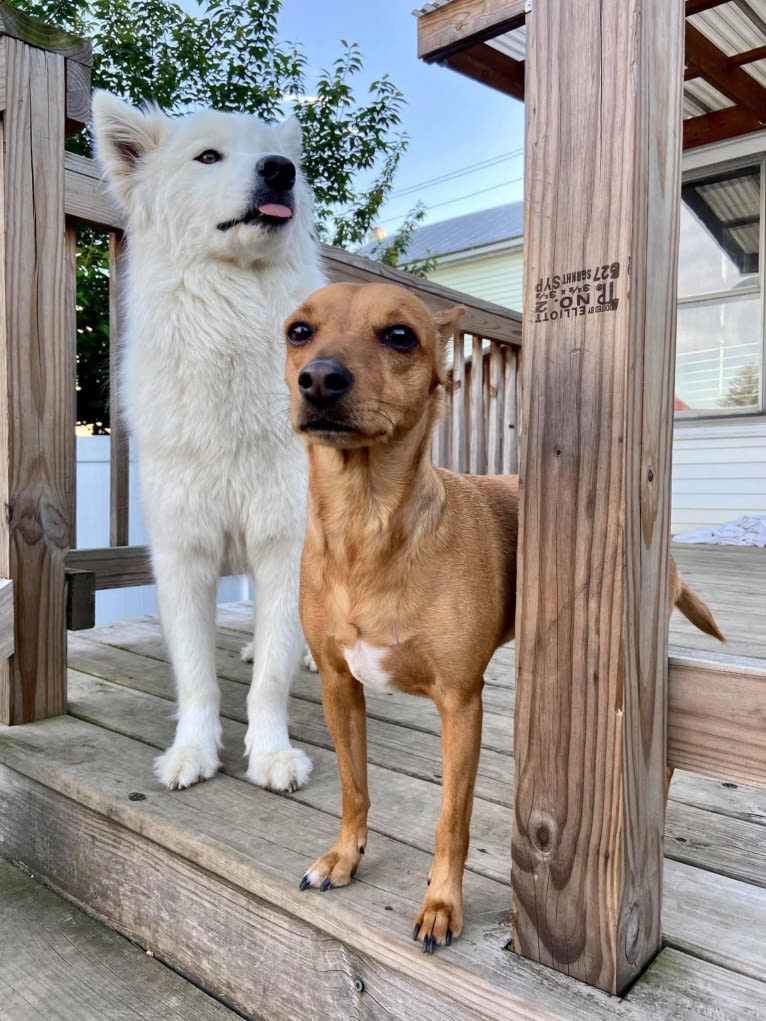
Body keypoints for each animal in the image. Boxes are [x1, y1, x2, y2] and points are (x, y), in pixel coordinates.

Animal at [93, 93, 324, 788]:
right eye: (208, 157)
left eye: (272, 155)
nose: (281, 170)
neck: (233, 307)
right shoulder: (183, 551)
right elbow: (197, 676)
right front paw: (192, 753)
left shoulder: (286, 542)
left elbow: (271, 678)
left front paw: (272, 755)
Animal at [285, 279, 727, 947]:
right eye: (298, 332)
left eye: (400, 336)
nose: (319, 378)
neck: (367, 525)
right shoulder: (340, 687)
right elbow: (353, 786)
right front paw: (344, 855)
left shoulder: (460, 704)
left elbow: (452, 819)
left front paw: (441, 903)